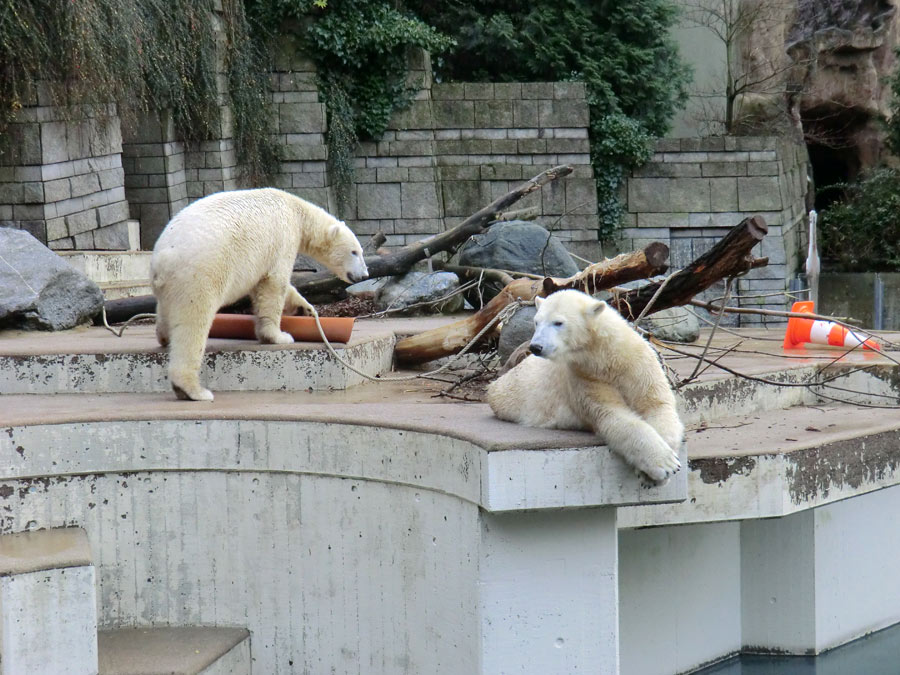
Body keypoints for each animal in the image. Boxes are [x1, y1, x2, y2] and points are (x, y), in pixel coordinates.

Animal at [151, 186, 370, 402]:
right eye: (354, 252)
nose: (364, 274)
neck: (297, 210)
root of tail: (162, 258)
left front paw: (305, 308)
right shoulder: (283, 238)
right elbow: (274, 282)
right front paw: (279, 336)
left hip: (170, 284)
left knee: (166, 312)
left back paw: (165, 337)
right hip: (200, 273)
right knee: (194, 322)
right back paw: (193, 390)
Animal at [488, 288, 684, 484]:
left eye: (558, 322)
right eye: (537, 321)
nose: (536, 346)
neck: (606, 357)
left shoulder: (637, 364)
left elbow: (657, 405)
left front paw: (662, 467)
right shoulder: (585, 376)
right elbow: (612, 415)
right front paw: (663, 465)